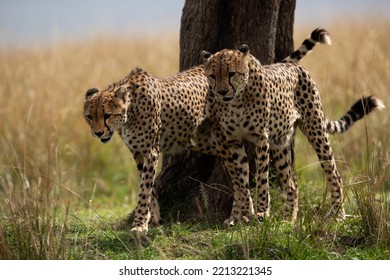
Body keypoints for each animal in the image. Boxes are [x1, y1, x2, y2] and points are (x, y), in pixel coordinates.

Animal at [84, 29, 342, 234]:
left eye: (107, 115)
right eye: (89, 117)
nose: (98, 133)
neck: (128, 113)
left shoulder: (150, 152)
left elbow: (145, 189)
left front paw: (140, 224)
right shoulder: (139, 153)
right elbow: (149, 189)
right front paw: (153, 218)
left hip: (311, 128)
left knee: (331, 172)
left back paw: (336, 216)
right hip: (235, 141)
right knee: (274, 181)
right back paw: (270, 218)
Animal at [203, 42, 386, 224]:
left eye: (231, 74)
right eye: (212, 76)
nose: (222, 92)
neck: (236, 101)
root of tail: (296, 65)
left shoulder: (261, 138)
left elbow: (262, 178)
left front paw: (261, 212)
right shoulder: (233, 141)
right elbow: (241, 180)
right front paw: (240, 215)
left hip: (315, 129)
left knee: (334, 173)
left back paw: (338, 214)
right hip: (280, 143)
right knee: (292, 183)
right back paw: (288, 220)